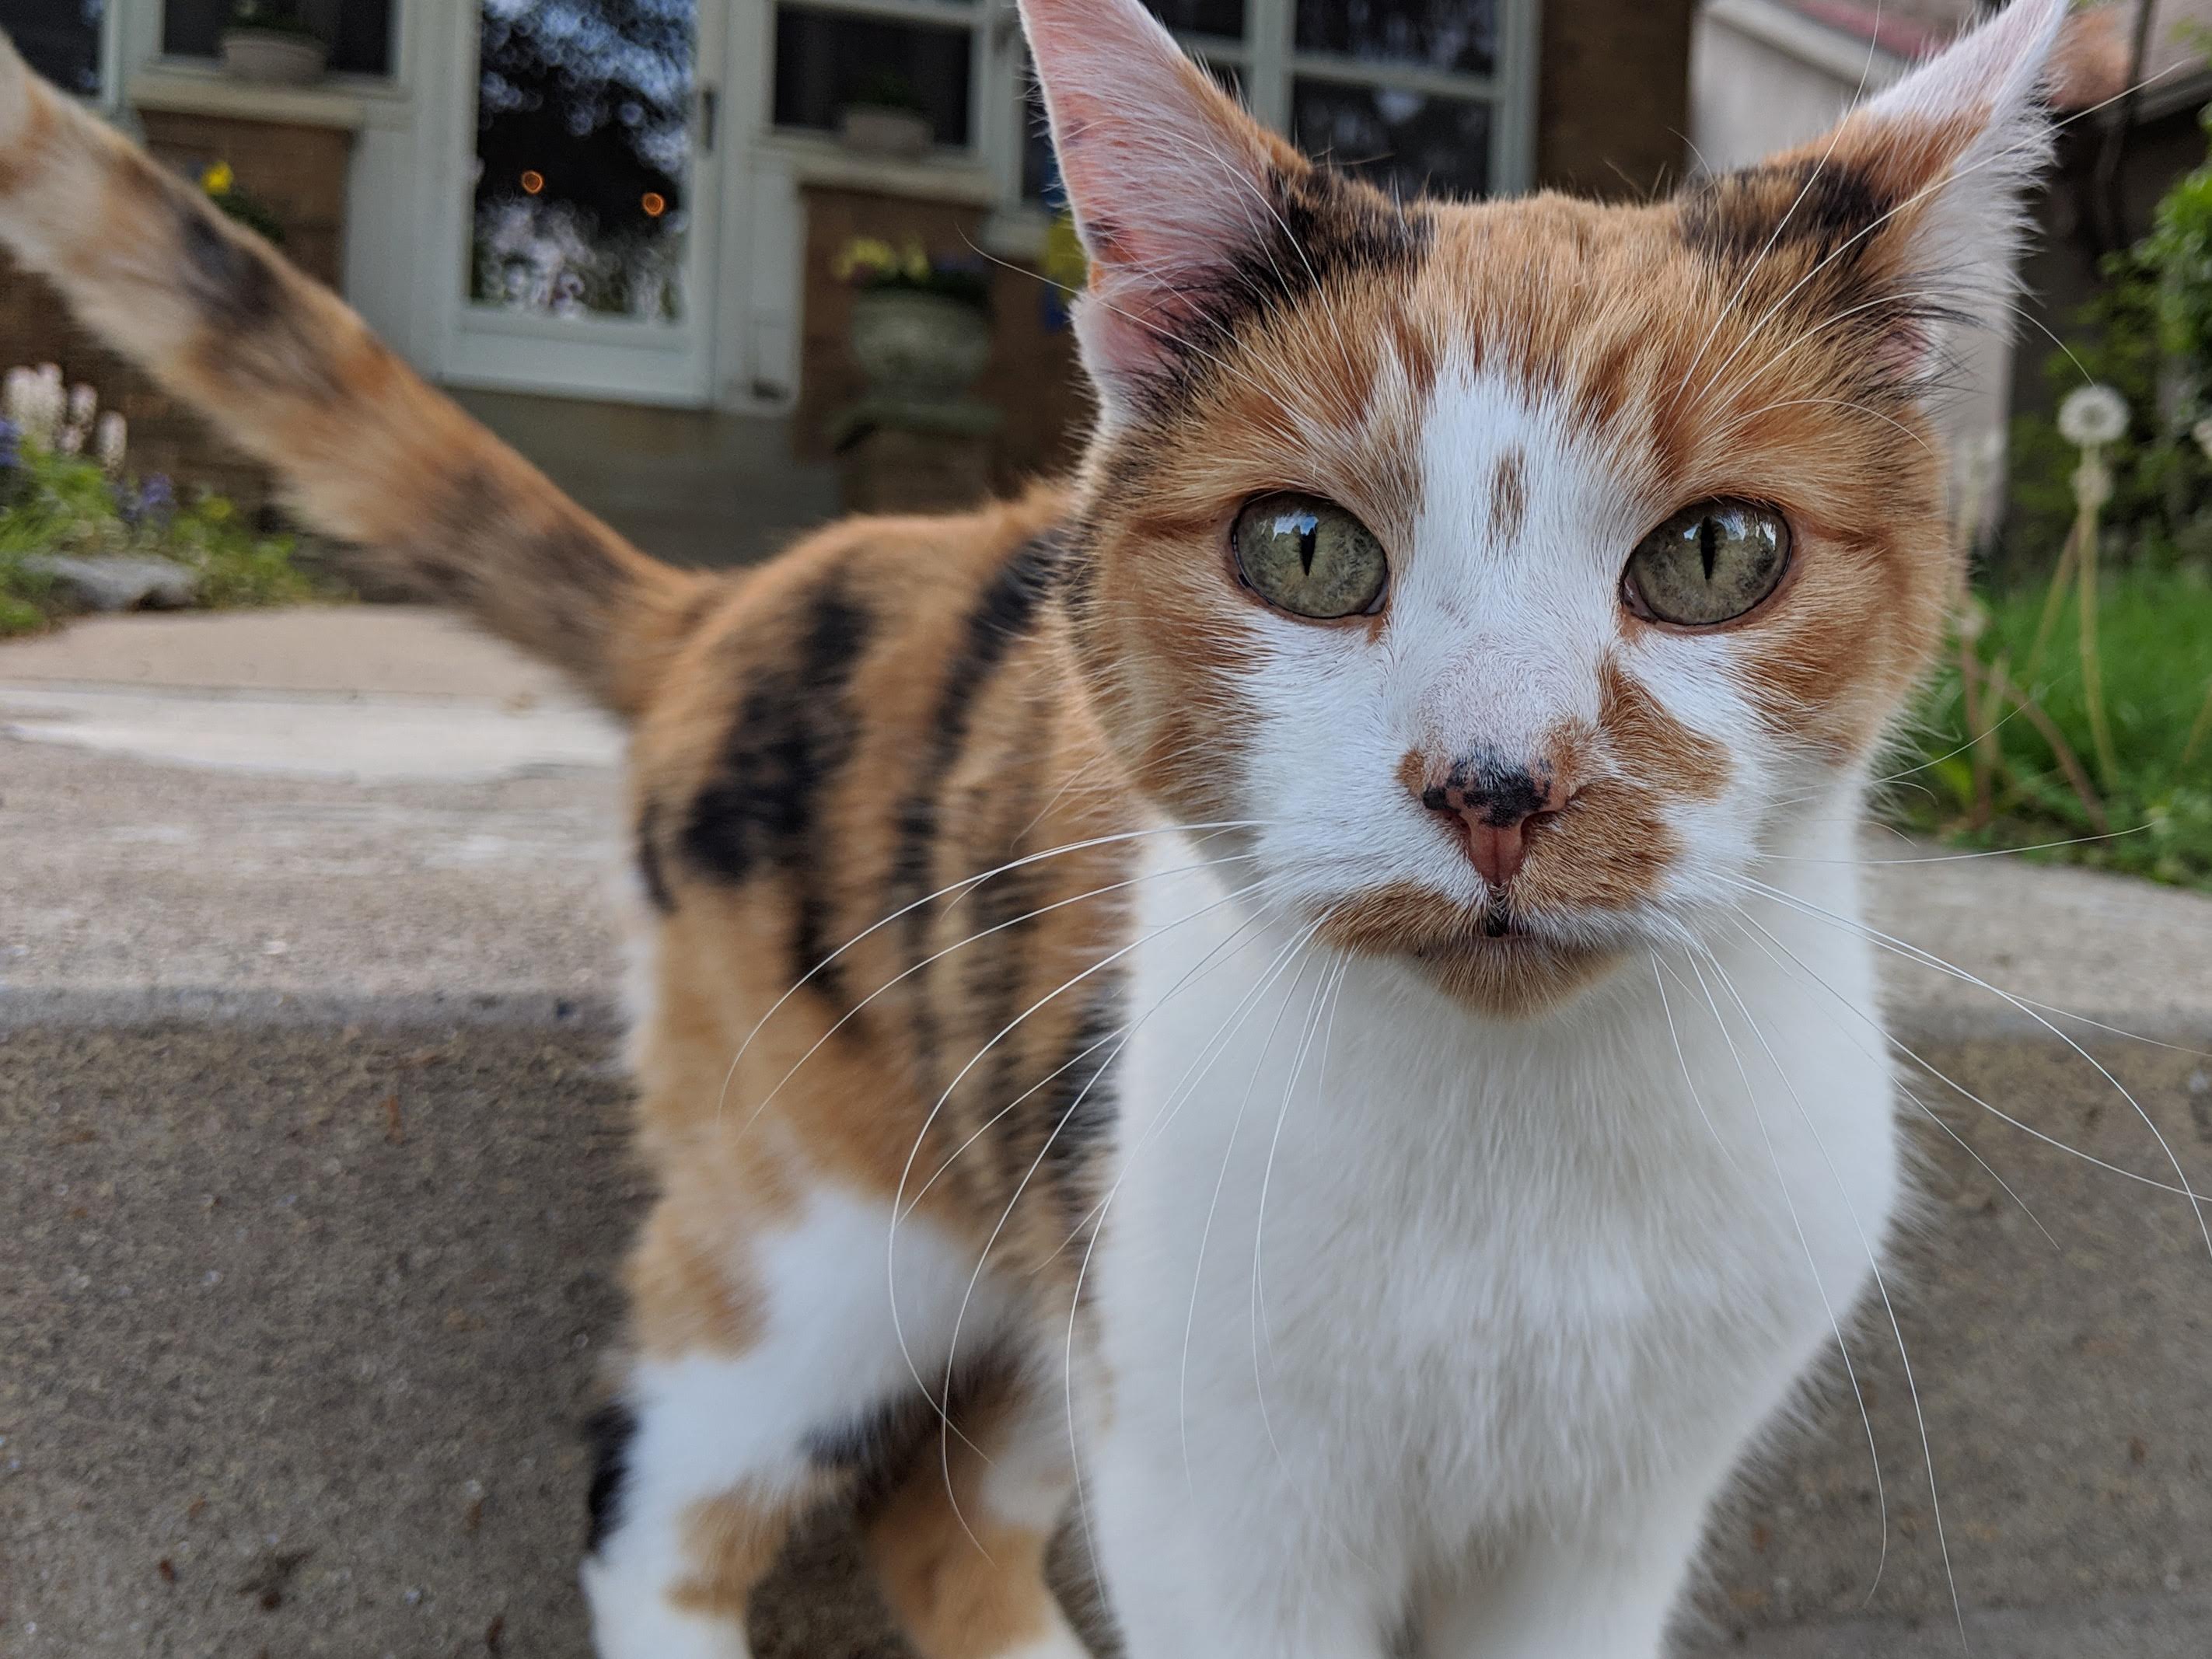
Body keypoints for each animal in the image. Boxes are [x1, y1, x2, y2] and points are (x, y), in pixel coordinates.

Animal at [0, 6, 2079, 1654]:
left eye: (1716, 554)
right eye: (1303, 549)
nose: (1498, 779)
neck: (1517, 1167)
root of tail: (736, 598)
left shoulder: (1605, 1518)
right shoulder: (1221, 1485)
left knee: (932, 1511)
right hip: (830, 1224)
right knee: (655, 1482)